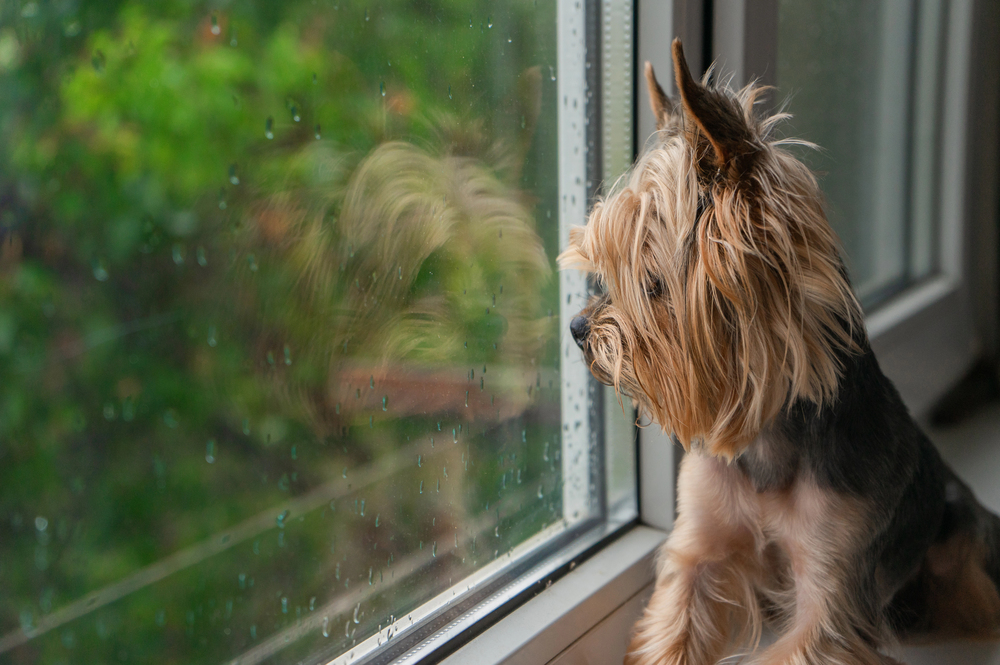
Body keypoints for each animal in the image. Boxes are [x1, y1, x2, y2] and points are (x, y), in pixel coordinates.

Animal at [564, 41, 1000, 664]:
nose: (577, 327)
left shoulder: (835, 581)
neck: (765, 437)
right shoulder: (699, 545)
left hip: (957, 535)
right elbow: (676, 617)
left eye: (652, 284)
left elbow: (817, 630)